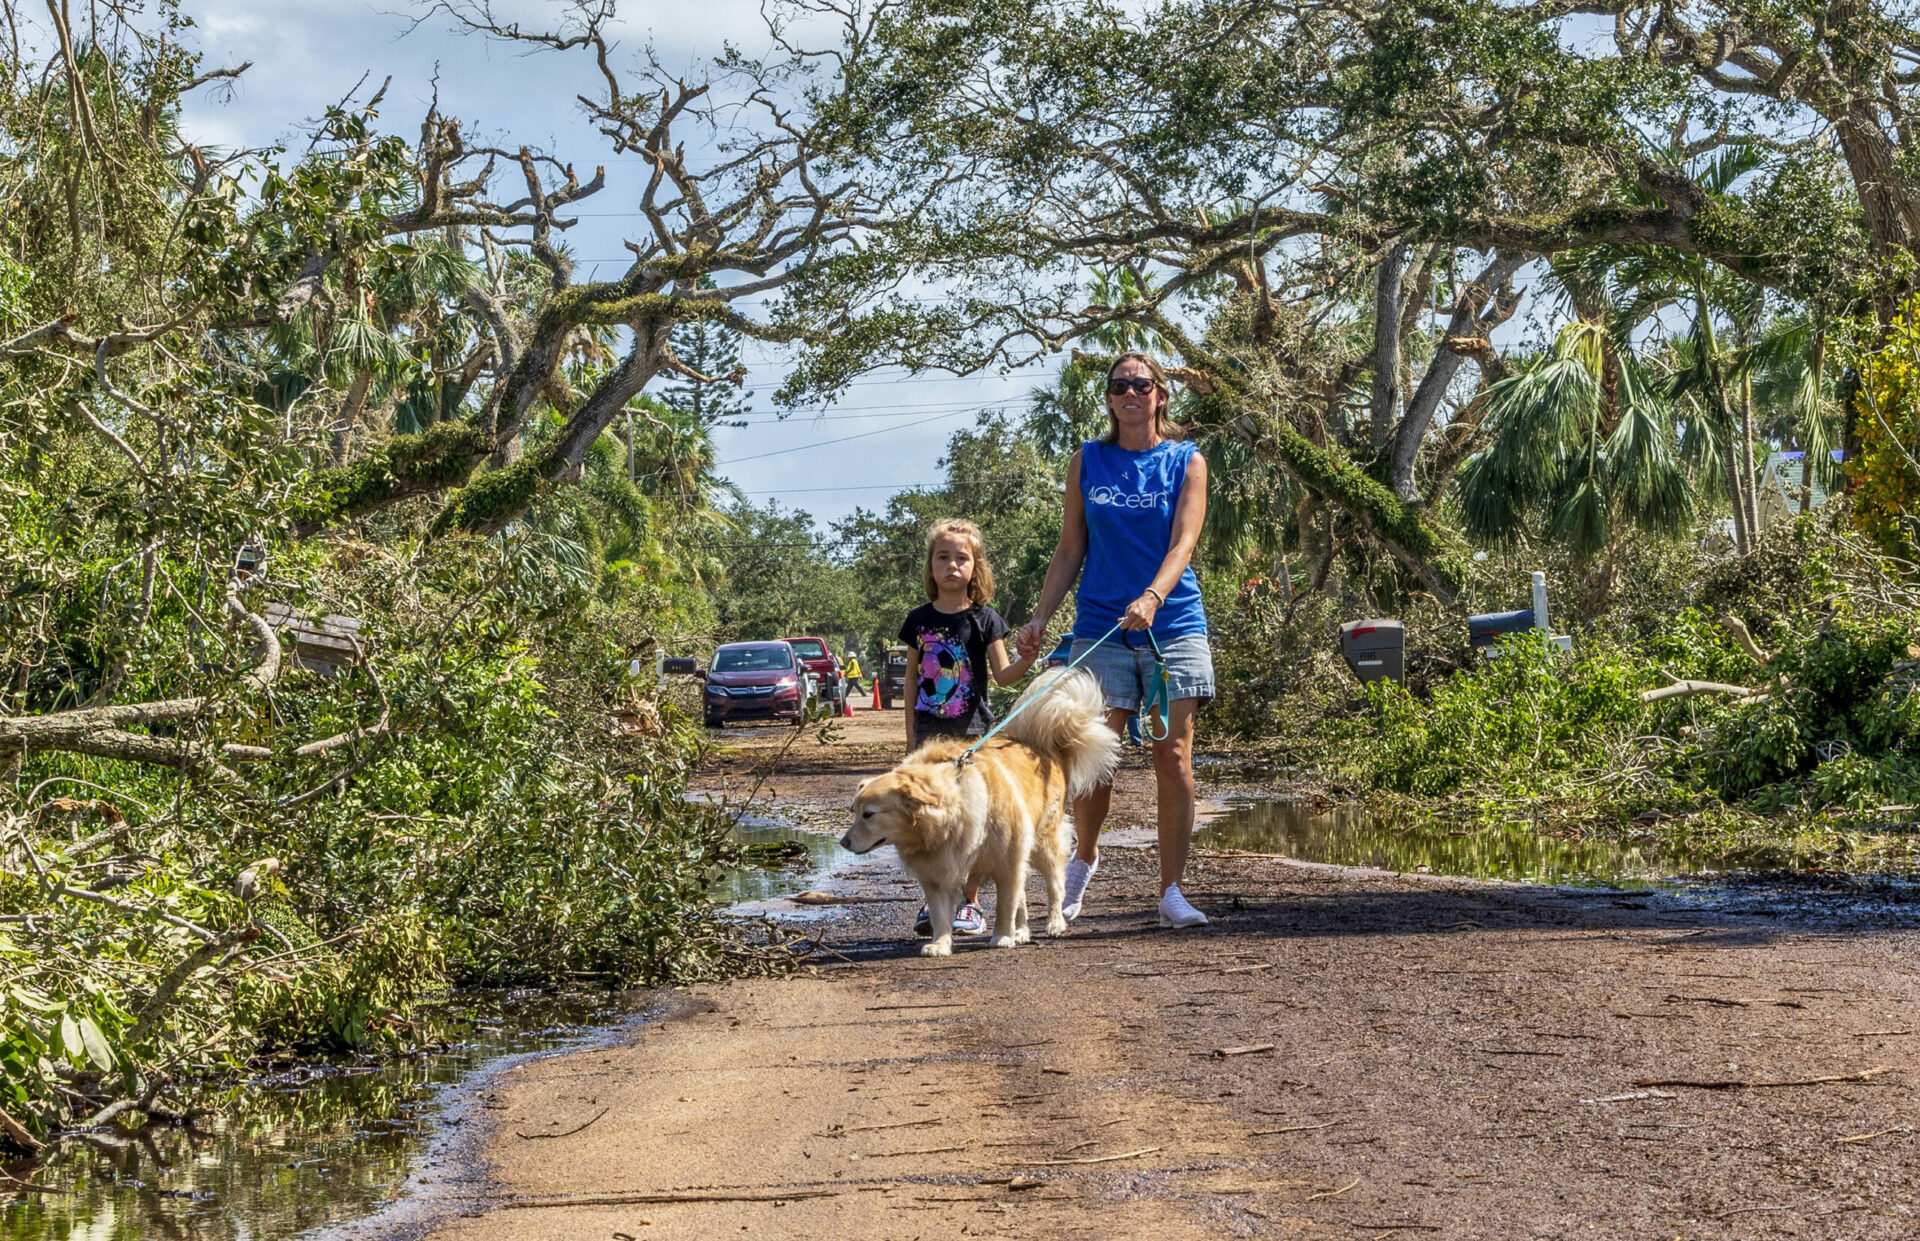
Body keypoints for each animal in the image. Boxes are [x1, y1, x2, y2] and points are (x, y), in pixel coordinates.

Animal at [837, 664, 1121, 956]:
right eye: (854, 811)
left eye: (869, 814)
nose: (843, 843)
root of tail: (1043, 747)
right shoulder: (936, 875)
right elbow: (941, 914)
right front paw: (941, 943)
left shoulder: (1007, 863)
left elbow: (1005, 904)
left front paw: (1003, 936)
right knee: (1023, 897)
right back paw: (1022, 931)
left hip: (1044, 845)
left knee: (1055, 887)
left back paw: (1054, 923)